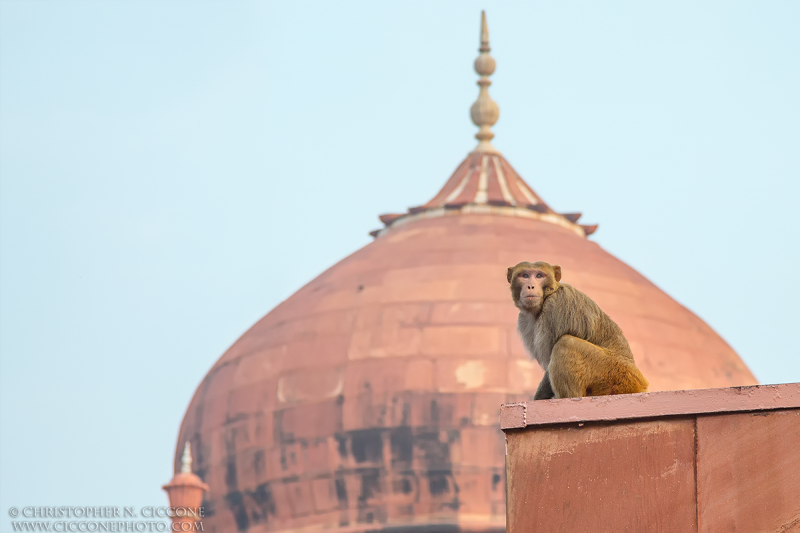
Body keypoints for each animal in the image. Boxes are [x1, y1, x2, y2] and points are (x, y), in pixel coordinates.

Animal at [506, 260, 648, 396]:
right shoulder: (524, 320)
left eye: (539, 275)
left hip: (615, 374)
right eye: (524, 275)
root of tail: (640, 384)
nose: (530, 286)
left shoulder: (556, 305)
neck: (548, 296)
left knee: (566, 343)